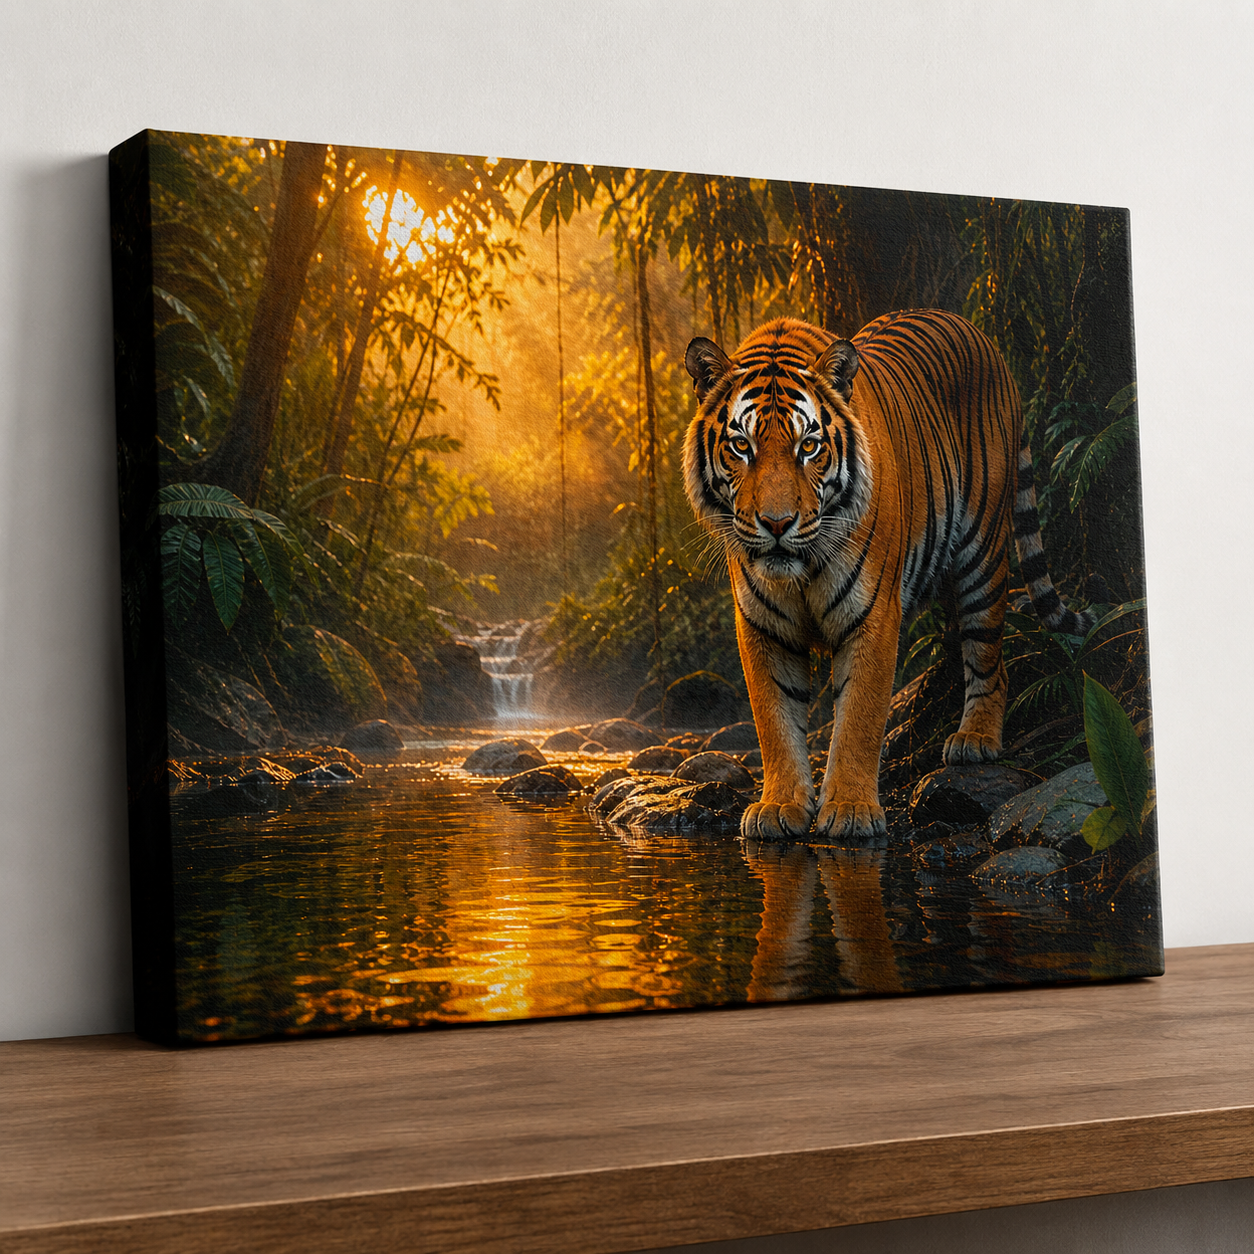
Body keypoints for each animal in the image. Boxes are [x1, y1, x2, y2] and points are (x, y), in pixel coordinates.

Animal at [682, 309, 1092, 841]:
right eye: (740, 446)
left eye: (809, 447)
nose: (776, 523)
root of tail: (979, 335)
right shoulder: (762, 627)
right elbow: (775, 720)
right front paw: (780, 806)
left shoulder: (873, 614)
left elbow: (860, 715)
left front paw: (851, 810)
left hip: (983, 555)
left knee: (990, 655)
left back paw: (975, 738)